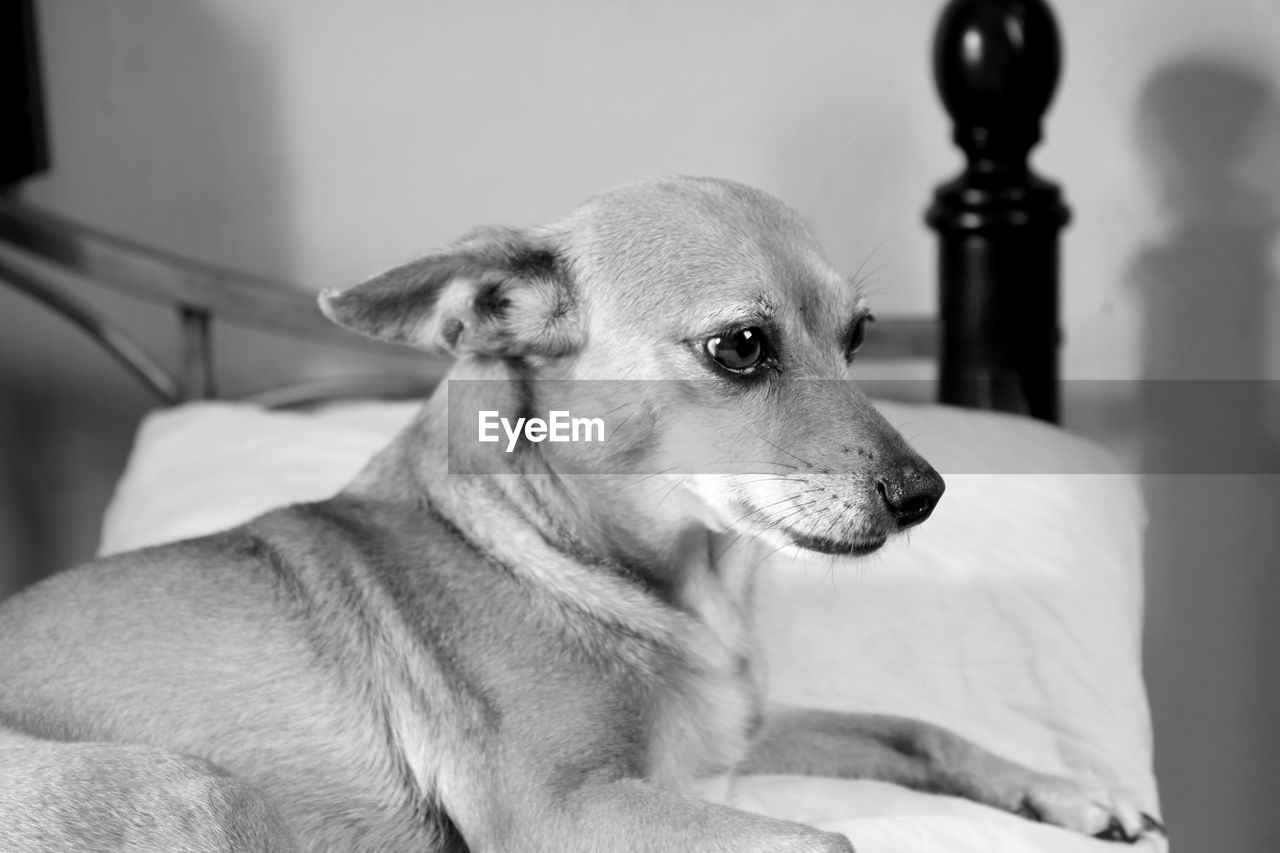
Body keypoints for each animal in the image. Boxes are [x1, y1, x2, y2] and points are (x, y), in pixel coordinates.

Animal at [0, 175, 1162, 845]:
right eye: (740, 346)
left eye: (860, 335)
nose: (926, 493)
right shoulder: (563, 812)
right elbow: (826, 840)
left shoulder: (725, 744)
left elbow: (915, 725)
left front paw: (1068, 790)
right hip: (197, 793)